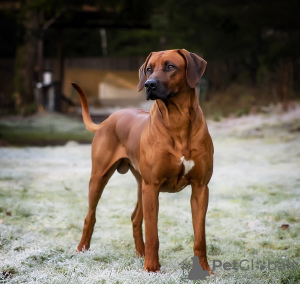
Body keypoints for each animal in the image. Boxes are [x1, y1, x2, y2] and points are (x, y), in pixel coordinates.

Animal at [71, 48, 213, 272]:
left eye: (170, 66)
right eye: (148, 69)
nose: (149, 84)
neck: (177, 120)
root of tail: (107, 120)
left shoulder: (200, 188)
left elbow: (200, 238)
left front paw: (204, 270)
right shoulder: (152, 186)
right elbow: (153, 234)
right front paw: (152, 269)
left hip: (141, 185)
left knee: (136, 218)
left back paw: (140, 253)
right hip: (100, 177)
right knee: (90, 216)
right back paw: (82, 249)